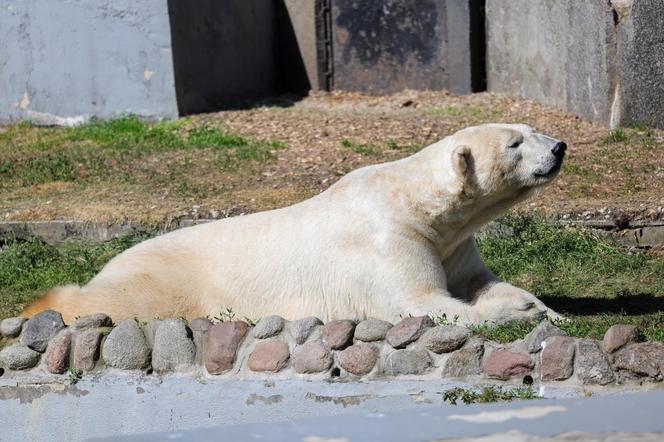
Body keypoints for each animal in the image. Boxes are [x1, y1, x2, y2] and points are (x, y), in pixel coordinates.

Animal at [24, 122, 564, 322]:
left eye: (531, 129)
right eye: (516, 143)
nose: (559, 147)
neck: (413, 202)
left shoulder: (452, 241)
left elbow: (478, 282)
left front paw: (539, 306)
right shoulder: (390, 241)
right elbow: (421, 301)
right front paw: (518, 314)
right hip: (165, 278)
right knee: (115, 301)